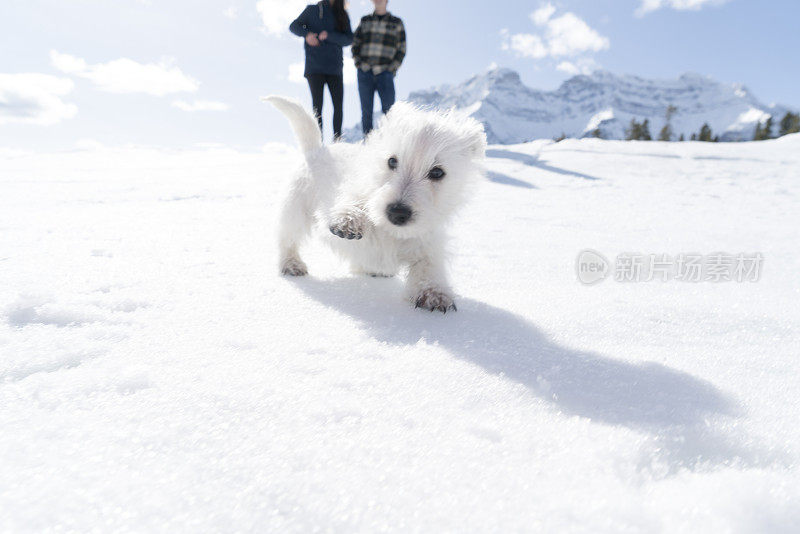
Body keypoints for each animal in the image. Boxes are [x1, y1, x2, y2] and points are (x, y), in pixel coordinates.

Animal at [262, 96, 488, 314]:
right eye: (392, 161)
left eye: (437, 172)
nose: (397, 212)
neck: (391, 232)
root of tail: (316, 148)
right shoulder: (356, 189)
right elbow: (356, 200)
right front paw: (349, 219)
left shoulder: (428, 241)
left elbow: (428, 265)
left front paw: (434, 293)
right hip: (295, 208)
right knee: (288, 239)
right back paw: (291, 264)